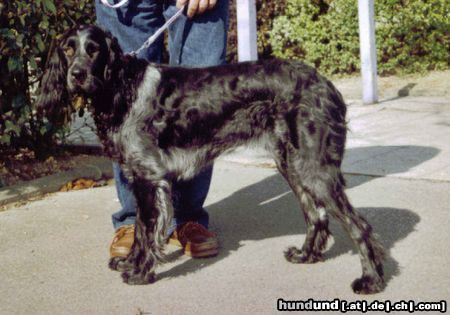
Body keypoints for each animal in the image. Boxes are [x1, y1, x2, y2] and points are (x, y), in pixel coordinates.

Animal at [37, 25, 384, 296]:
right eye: (68, 49)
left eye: (94, 50)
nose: (77, 75)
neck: (123, 87)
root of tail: (325, 84)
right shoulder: (140, 176)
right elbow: (138, 228)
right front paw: (130, 261)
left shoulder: (149, 176)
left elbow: (146, 229)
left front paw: (139, 272)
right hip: (292, 164)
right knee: (316, 216)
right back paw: (305, 255)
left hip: (312, 168)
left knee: (359, 225)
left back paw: (371, 281)